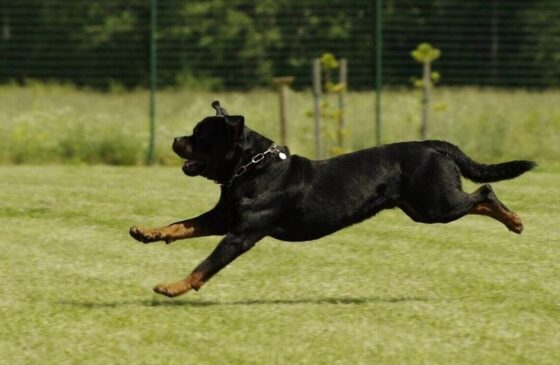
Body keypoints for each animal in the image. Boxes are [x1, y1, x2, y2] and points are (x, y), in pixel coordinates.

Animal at [129, 100, 536, 296]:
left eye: (200, 136)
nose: (175, 139)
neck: (250, 169)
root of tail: (430, 144)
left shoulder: (240, 233)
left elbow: (205, 265)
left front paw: (172, 287)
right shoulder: (222, 218)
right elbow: (181, 224)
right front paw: (148, 232)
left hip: (437, 205)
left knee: (484, 192)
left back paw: (515, 221)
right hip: (423, 208)